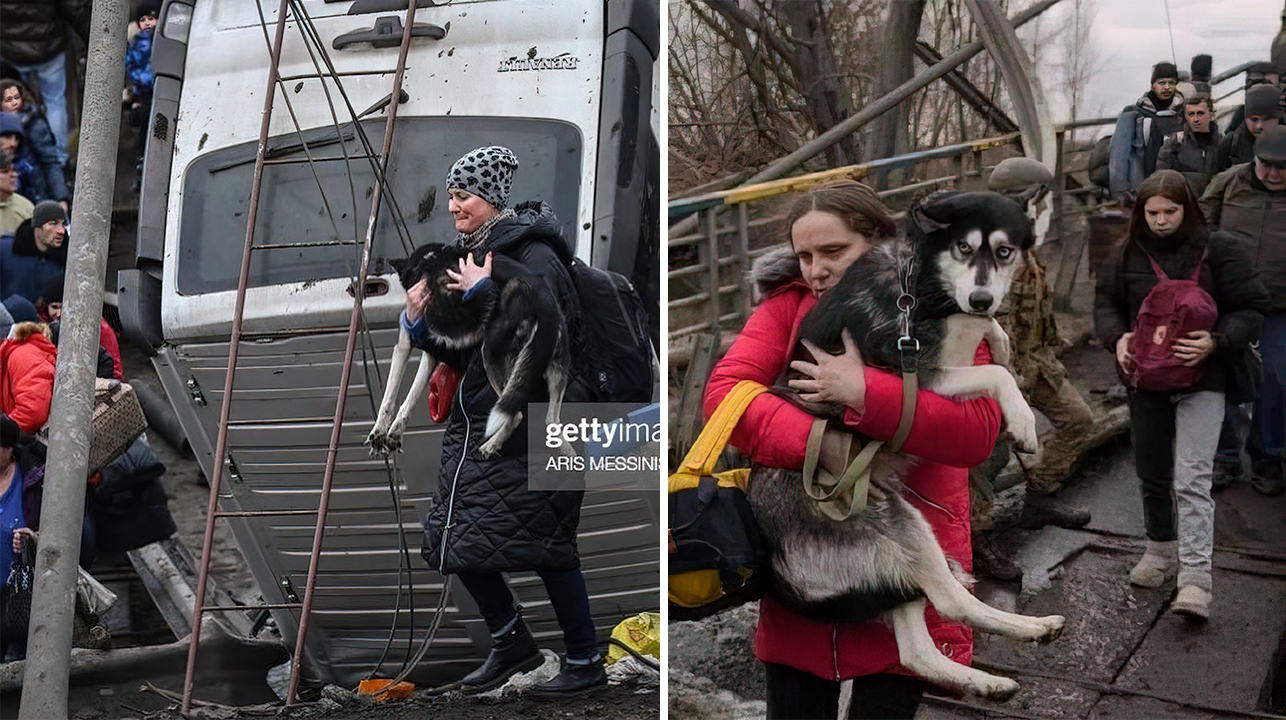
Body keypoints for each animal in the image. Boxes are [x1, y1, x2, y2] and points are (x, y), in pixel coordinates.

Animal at [365, 241, 570, 455]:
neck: (429, 261)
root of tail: (545, 300)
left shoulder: (405, 342)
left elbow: (389, 396)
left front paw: (378, 434)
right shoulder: (430, 352)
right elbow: (410, 396)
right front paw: (394, 434)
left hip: (492, 355)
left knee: (516, 415)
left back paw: (490, 445)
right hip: (554, 371)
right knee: (551, 420)